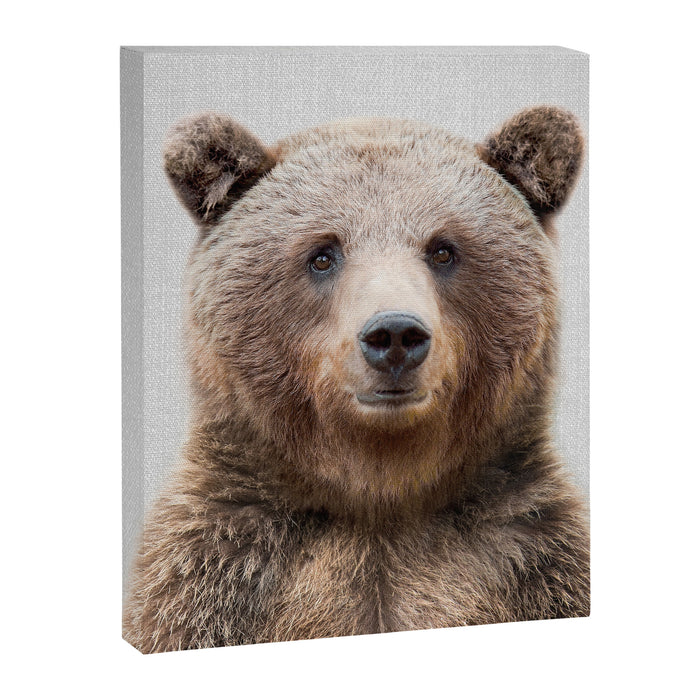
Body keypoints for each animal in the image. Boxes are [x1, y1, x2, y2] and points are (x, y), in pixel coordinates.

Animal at [123, 106, 589, 653]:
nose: (395, 334)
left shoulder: (536, 563)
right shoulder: (213, 578)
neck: (378, 493)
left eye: (444, 250)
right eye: (322, 254)